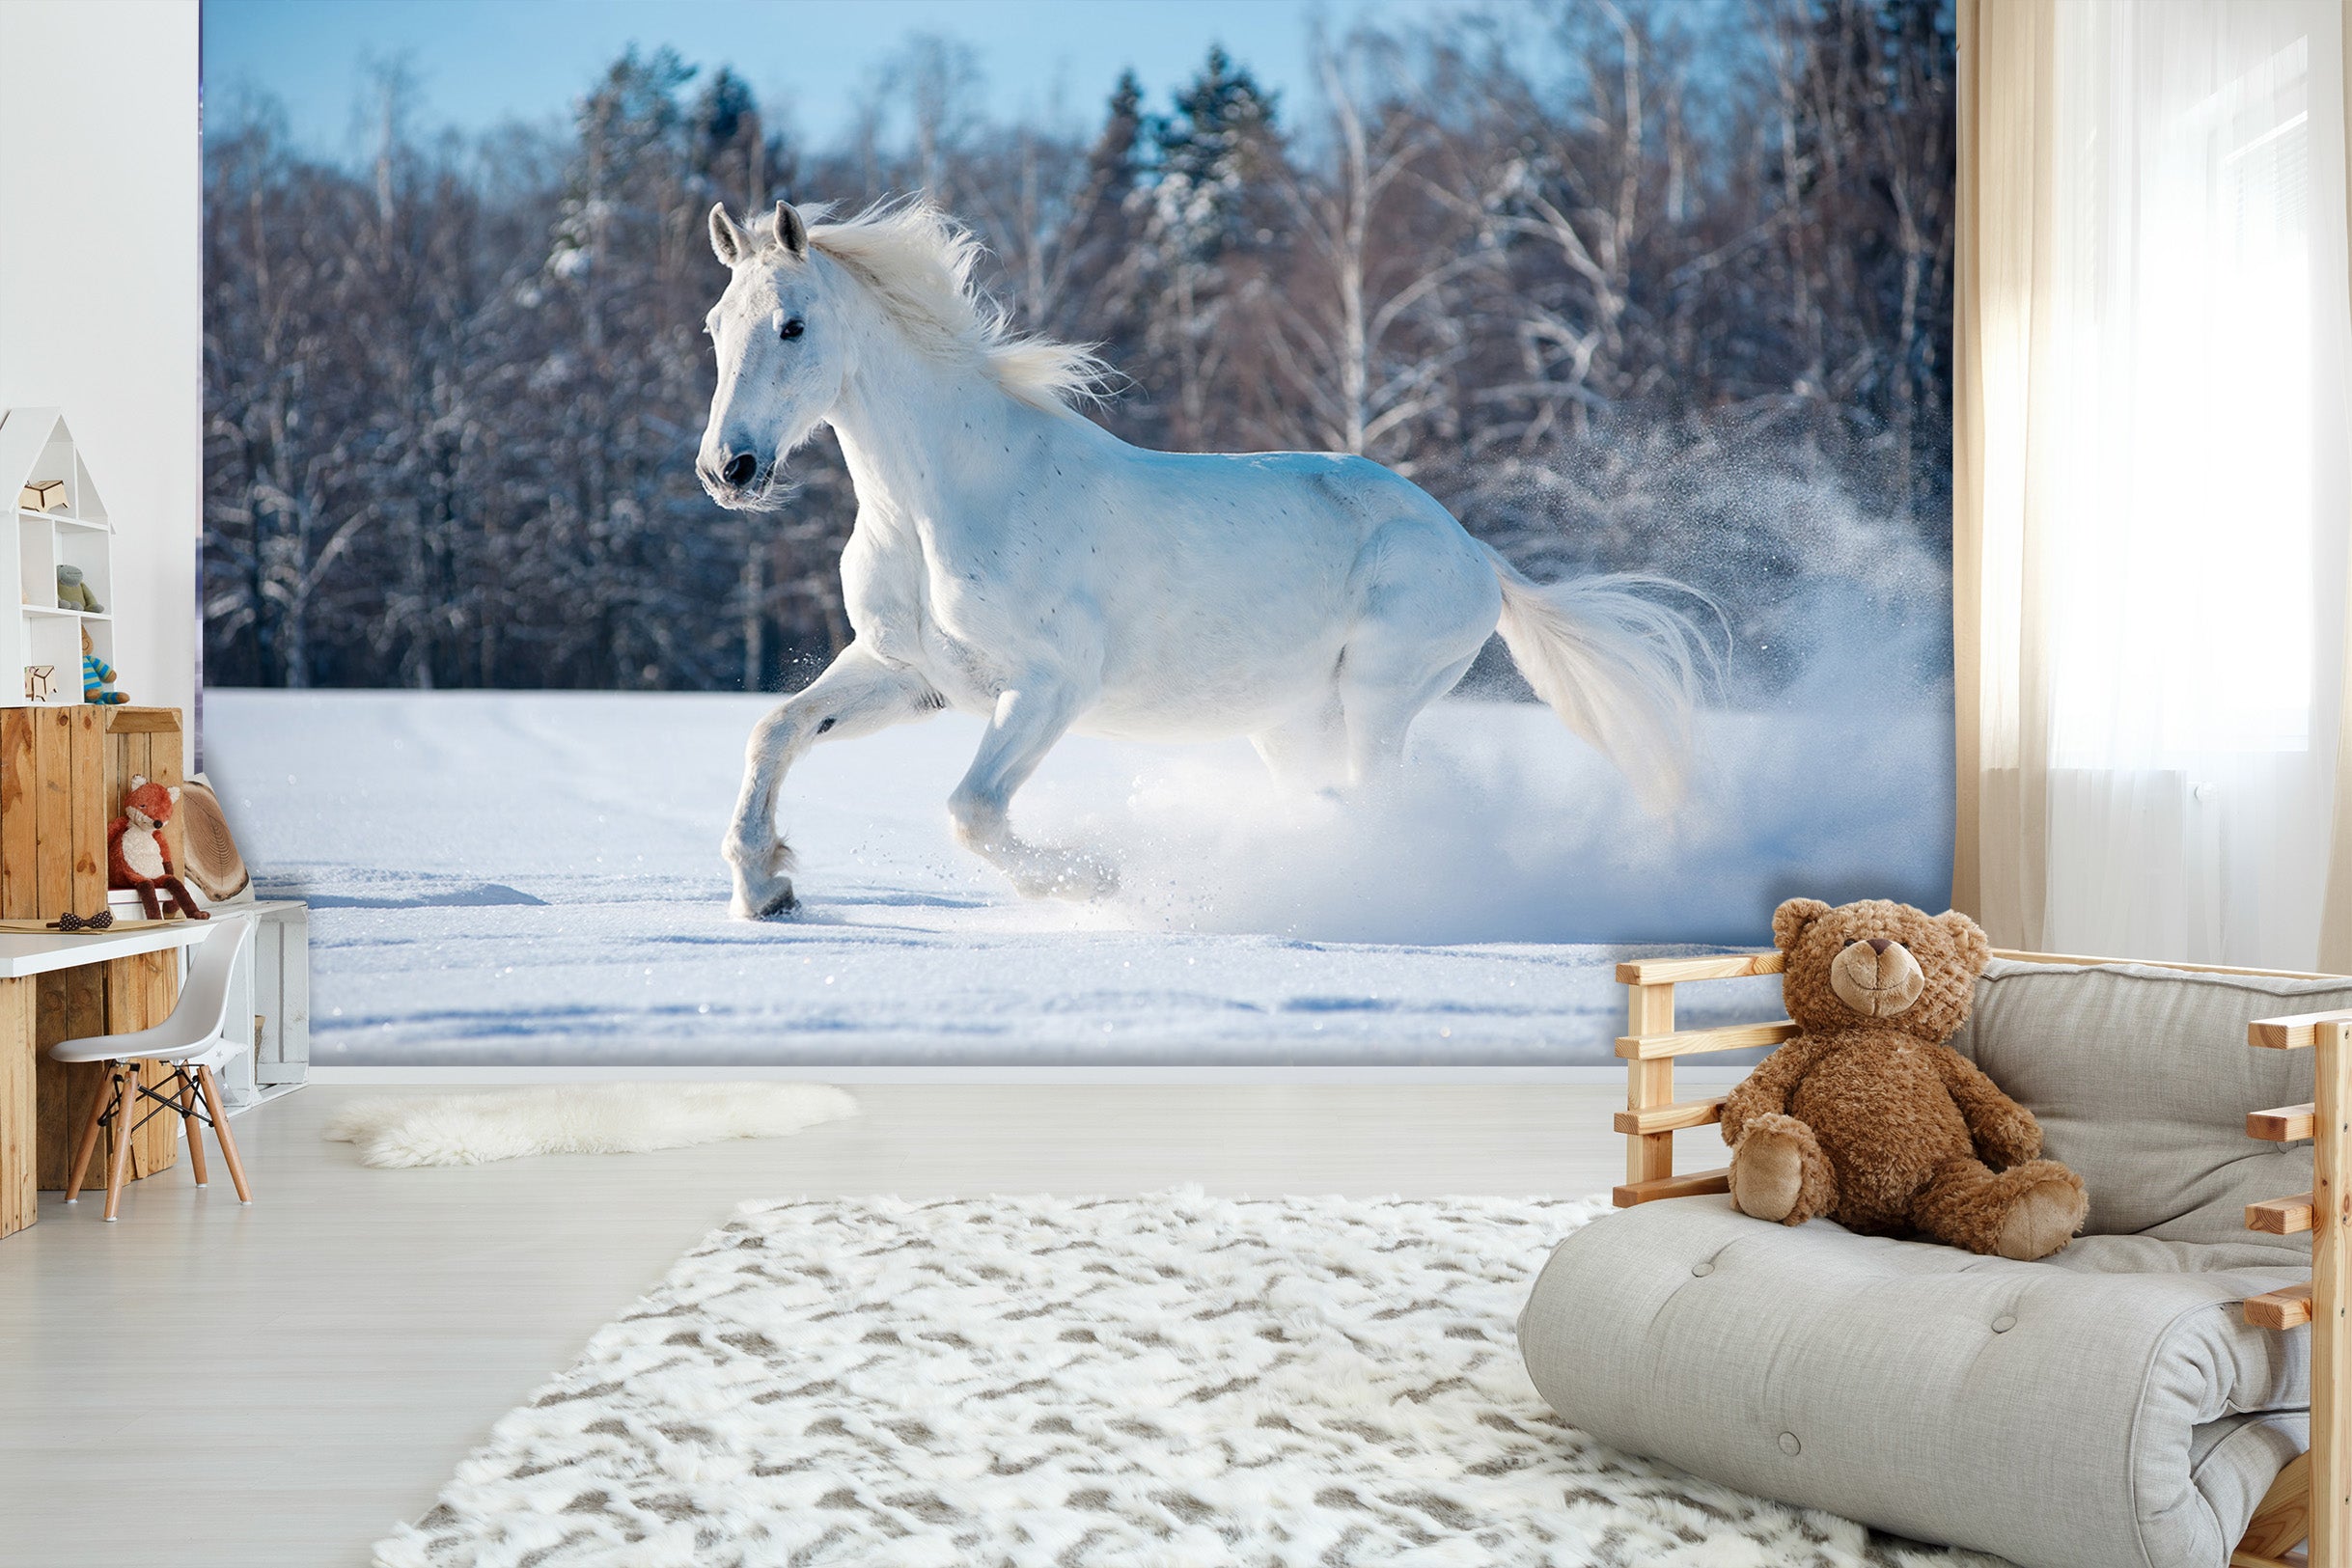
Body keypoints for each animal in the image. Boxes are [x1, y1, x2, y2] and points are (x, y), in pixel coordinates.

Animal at [697, 197, 1711, 920]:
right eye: (715, 324)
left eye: (791, 324)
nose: (727, 469)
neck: (940, 501)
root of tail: (1471, 550)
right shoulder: (911, 673)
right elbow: (774, 731)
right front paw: (767, 889)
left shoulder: (1051, 684)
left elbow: (973, 809)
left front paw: (1096, 880)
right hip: (1290, 721)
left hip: (1378, 696)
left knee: (1377, 803)